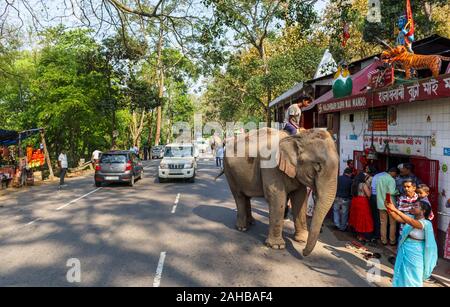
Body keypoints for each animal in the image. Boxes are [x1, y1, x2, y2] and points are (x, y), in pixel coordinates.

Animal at [218, 128, 338, 258]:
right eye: (317, 165)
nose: (303, 252)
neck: (294, 138)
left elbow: (300, 198)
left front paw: (302, 239)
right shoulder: (271, 166)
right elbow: (277, 197)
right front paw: (277, 246)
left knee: (246, 197)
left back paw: (251, 222)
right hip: (229, 171)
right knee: (239, 196)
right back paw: (242, 228)